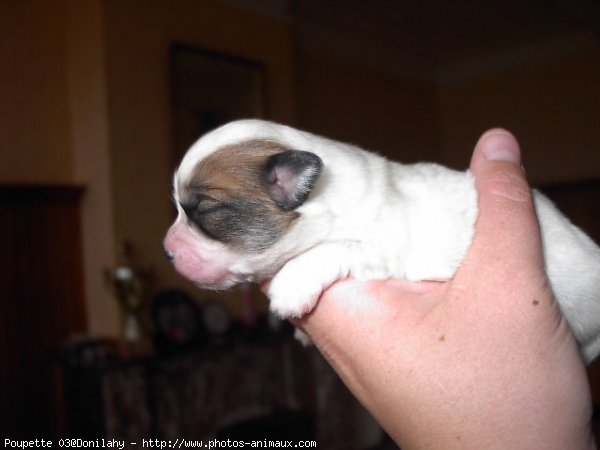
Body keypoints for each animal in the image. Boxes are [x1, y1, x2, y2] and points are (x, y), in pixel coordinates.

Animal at [164, 118, 600, 362]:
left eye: (203, 210)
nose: (167, 252)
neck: (326, 195)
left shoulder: (384, 247)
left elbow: (333, 249)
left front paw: (290, 287)